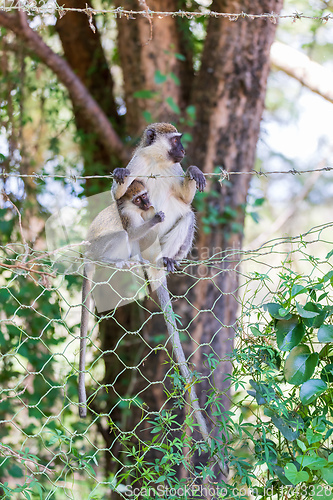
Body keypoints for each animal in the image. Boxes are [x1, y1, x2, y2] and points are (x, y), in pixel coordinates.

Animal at [79, 180, 165, 418]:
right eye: (138, 199)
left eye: (144, 195)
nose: (147, 203)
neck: (136, 209)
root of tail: (88, 256)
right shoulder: (129, 215)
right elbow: (133, 233)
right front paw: (156, 220)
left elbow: (139, 240)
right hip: (99, 248)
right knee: (122, 236)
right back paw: (112, 261)